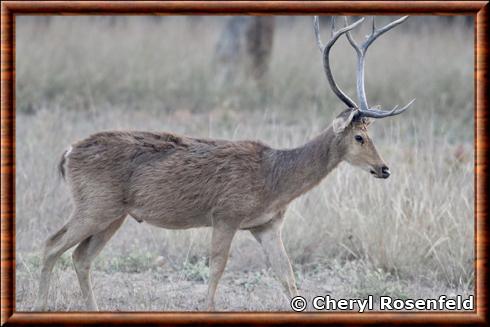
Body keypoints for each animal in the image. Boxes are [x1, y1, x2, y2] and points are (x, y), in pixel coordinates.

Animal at [36, 16, 416, 312]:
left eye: (370, 134)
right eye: (360, 137)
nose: (385, 168)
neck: (275, 181)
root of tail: (68, 152)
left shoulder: (267, 226)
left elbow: (289, 278)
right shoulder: (226, 213)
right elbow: (217, 269)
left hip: (114, 213)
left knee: (81, 257)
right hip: (95, 203)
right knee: (51, 244)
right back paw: (41, 305)